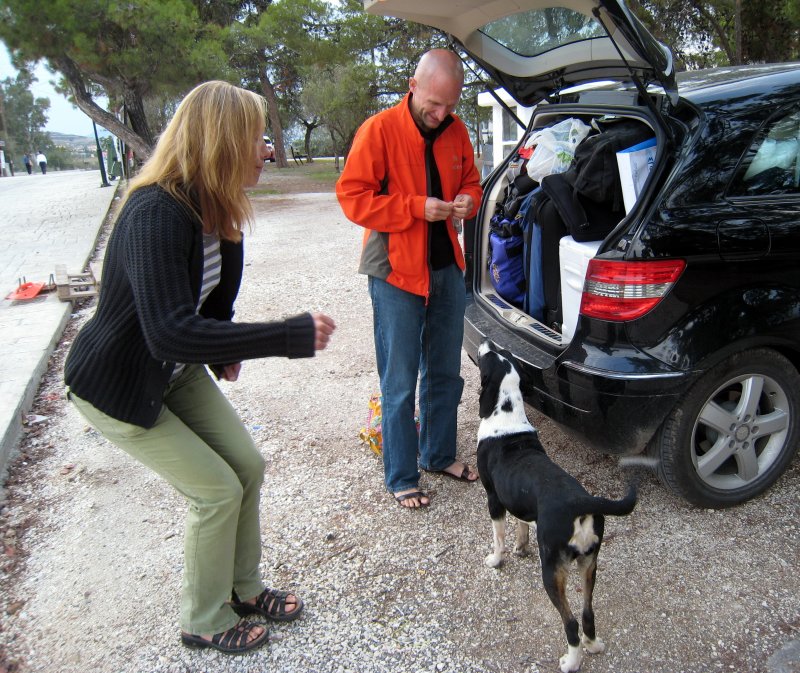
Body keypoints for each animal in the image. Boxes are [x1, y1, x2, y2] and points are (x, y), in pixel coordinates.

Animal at [476, 342, 636, 672]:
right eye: (501, 351)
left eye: (490, 355)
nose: (487, 342)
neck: (506, 417)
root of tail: (581, 502)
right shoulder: (519, 502)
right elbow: (521, 525)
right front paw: (520, 547)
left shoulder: (494, 499)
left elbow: (498, 536)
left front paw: (496, 560)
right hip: (590, 564)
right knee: (588, 613)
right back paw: (594, 646)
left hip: (552, 571)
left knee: (571, 622)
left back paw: (570, 662)